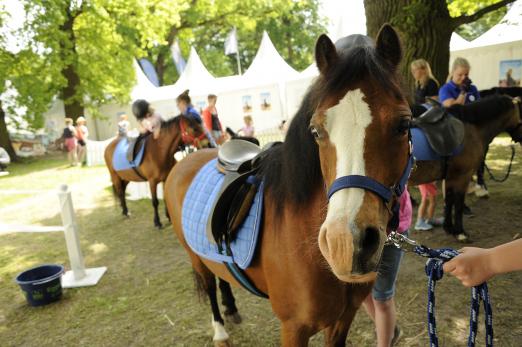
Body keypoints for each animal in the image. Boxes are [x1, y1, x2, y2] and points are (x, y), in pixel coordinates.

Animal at [165, 23, 412, 346]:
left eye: (404, 125)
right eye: (316, 131)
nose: (346, 243)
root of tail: (186, 160)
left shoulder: (342, 321)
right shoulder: (293, 329)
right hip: (194, 256)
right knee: (208, 285)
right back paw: (220, 329)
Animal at [410, 95, 520, 242]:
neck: (471, 129)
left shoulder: (451, 177)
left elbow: (449, 200)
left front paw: (449, 229)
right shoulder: (463, 176)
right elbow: (458, 203)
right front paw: (460, 232)